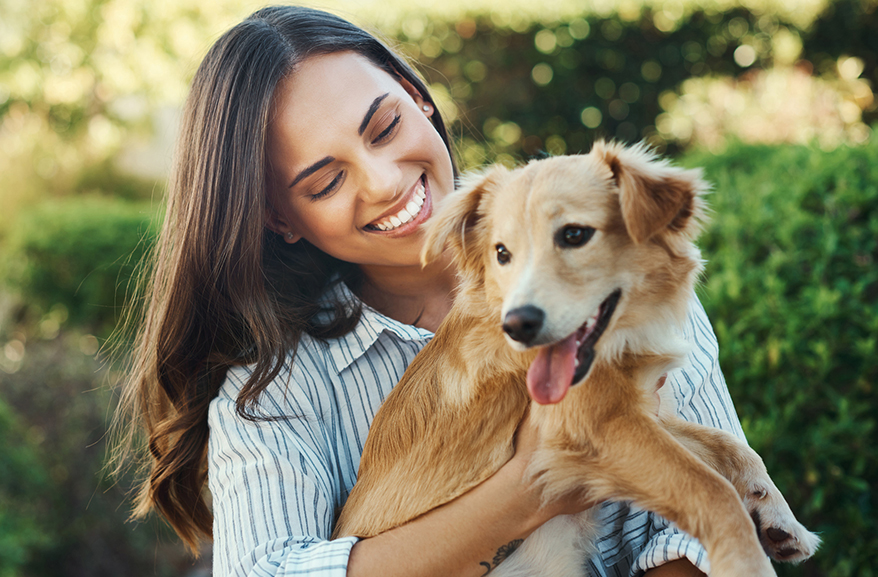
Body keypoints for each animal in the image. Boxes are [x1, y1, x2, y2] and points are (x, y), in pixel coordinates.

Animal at [334, 141, 820, 576]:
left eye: (574, 234)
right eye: (501, 253)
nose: (518, 325)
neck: (619, 339)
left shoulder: (639, 412)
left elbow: (731, 448)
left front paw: (779, 519)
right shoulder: (595, 427)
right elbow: (710, 488)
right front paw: (745, 560)